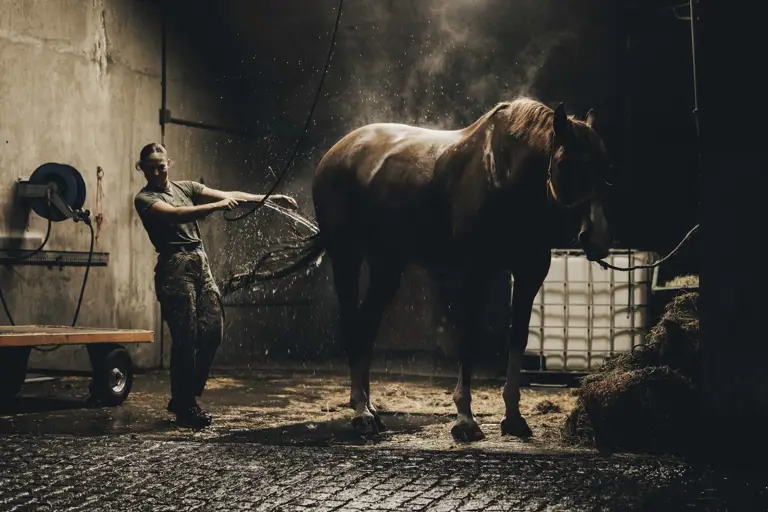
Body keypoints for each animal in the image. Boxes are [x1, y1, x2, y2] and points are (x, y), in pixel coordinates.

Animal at [225, 97, 613, 441]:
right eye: (565, 163)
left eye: (603, 168)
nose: (596, 239)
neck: (501, 174)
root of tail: (337, 152)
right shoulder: (475, 272)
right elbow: (469, 338)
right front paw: (465, 420)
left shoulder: (530, 274)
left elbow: (516, 338)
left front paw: (514, 418)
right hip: (347, 256)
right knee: (352, 323)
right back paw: (361, 414)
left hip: (386, 263)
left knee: (366, 324)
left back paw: (370, 409)